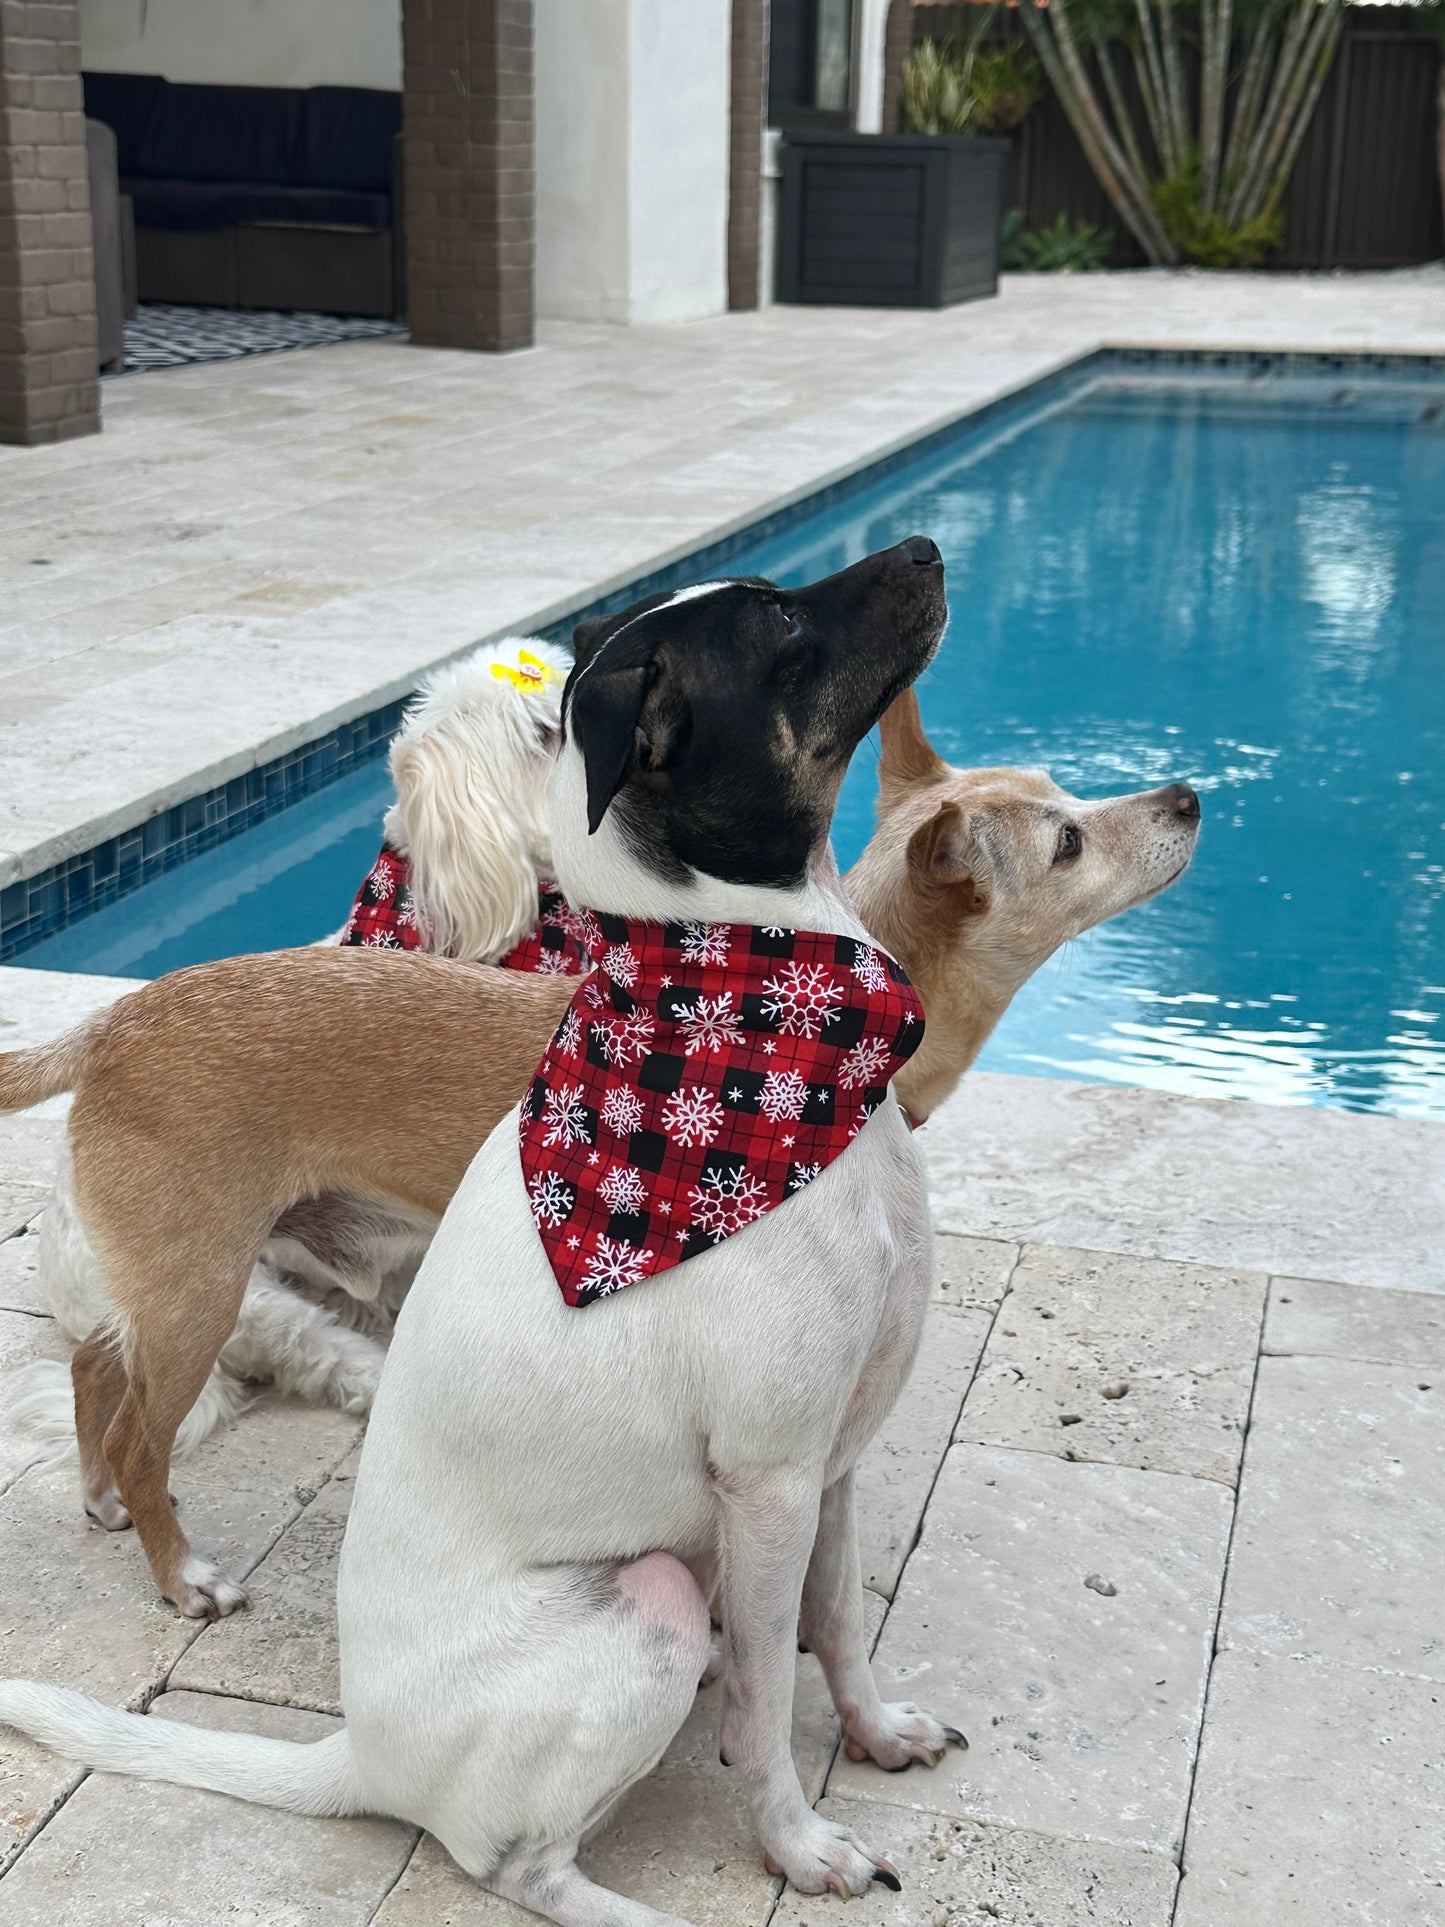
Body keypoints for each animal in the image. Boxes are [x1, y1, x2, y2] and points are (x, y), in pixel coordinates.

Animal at [0, 693, 1202, 1610]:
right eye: (1066, 842)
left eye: (1065, 798)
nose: (1187, 796)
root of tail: (110, 1022)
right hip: (203, 1289)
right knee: (140, 1435)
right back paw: (179, 1570)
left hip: (171, 1284)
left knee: (93, 1366)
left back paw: (100, 1501)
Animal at [2, 539, 974, 1927]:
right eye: (782, 621)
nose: (928, 549)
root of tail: (359, 1749)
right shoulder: (771, 1477)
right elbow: (763, 1705)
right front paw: (797, 1844)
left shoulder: (831, 1463)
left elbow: (838, 1629)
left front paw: (878, 1732)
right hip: (631, 1584)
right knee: (513, 1861)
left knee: (101, 1370)